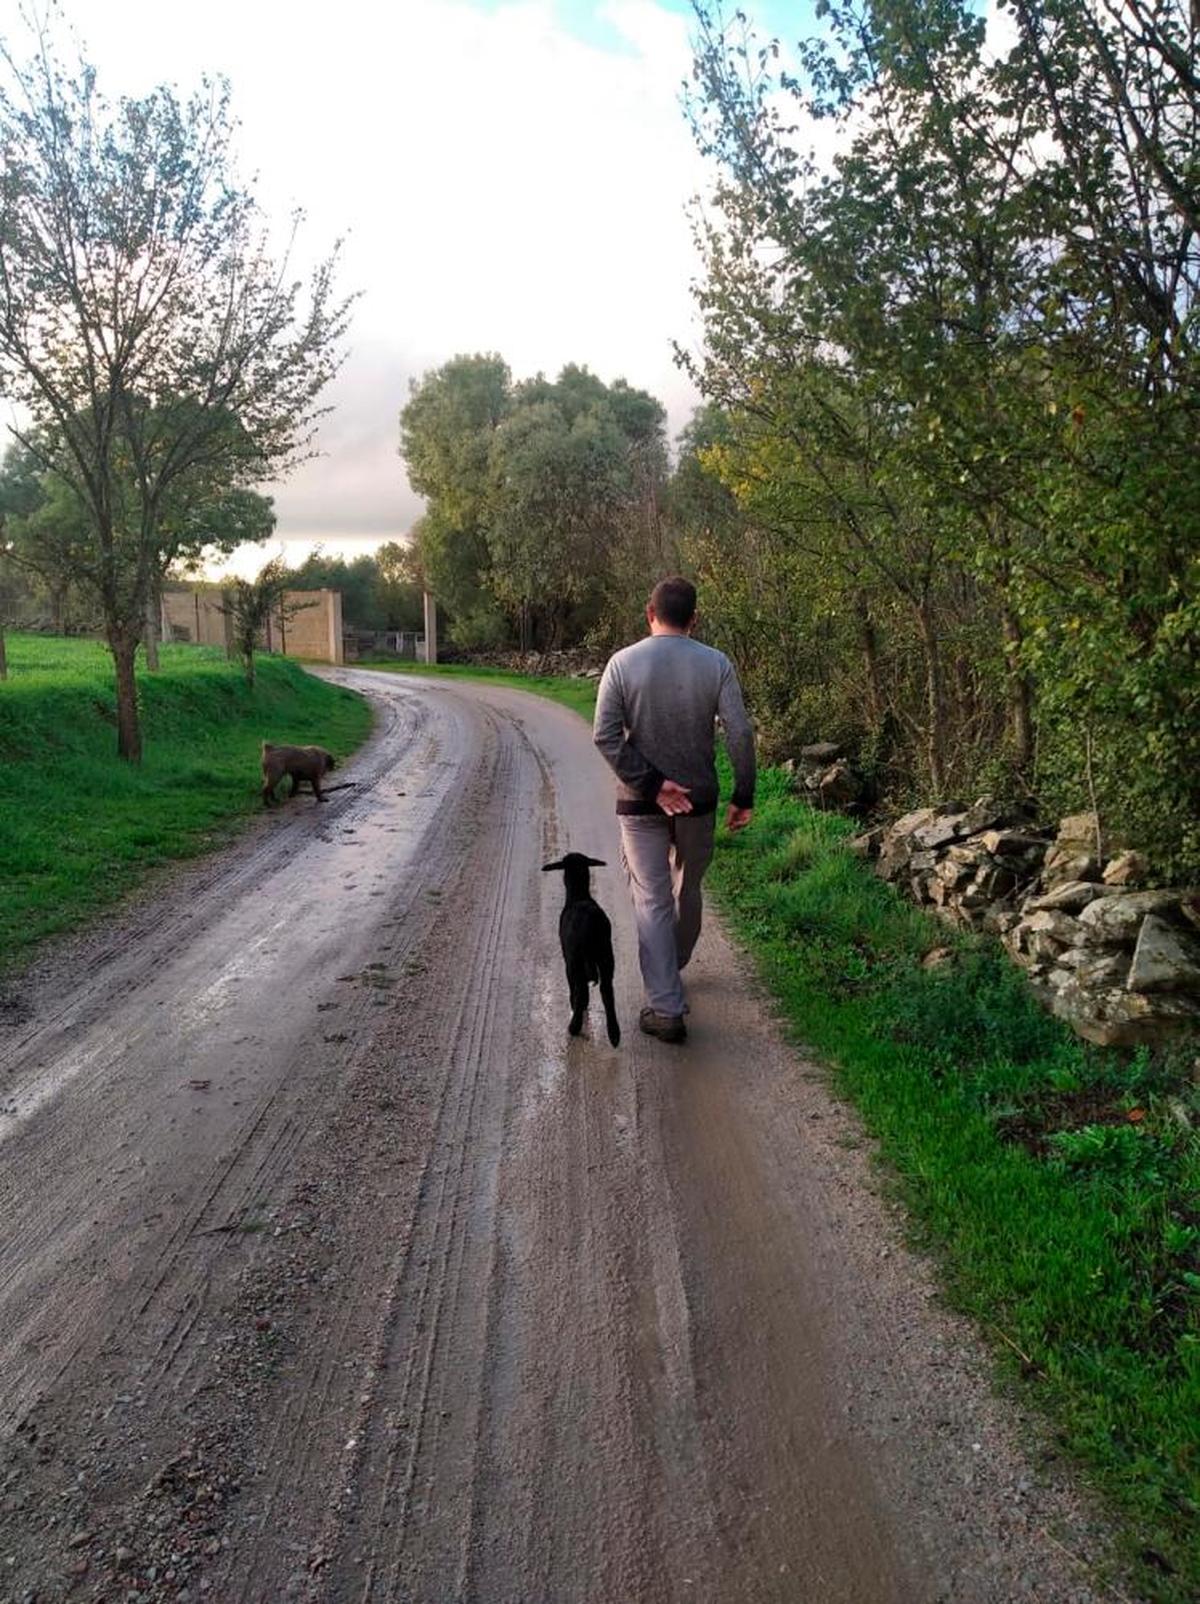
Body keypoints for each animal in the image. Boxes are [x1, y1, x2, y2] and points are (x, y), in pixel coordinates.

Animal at [542, 846, 619, 1045]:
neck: (578, 894)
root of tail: (590, 923)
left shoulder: (568, 959)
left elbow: (573, 986)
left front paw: (576, 1004)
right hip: (606, 955)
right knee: (607, 990)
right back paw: (614, 1034)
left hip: (576, 958)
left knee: (582, 989)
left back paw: (574, 1026)